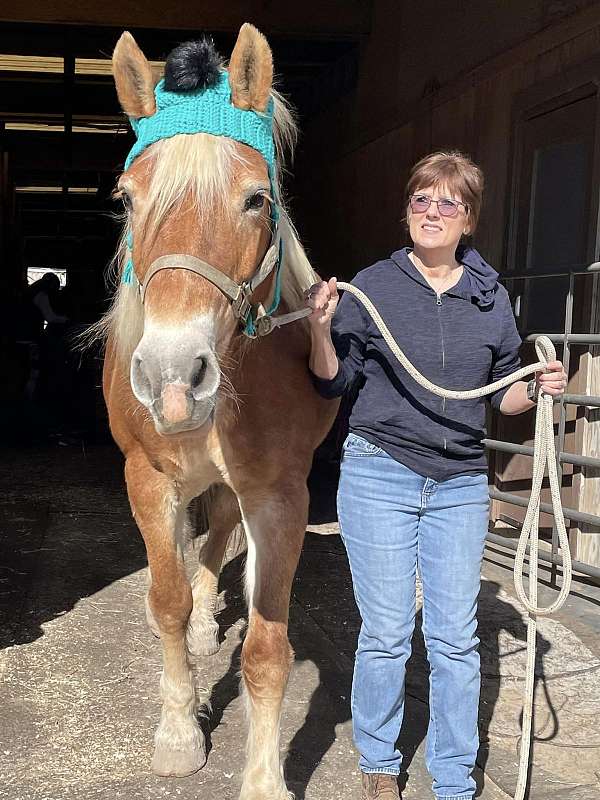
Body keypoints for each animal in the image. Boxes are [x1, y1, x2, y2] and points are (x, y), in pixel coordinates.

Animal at [91, 25, 340, 800]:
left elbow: (267, 648)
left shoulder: (280, 496)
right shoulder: (147, 478)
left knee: (220, 532)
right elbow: (165, 600)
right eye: (127, 199)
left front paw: (262, 779)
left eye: (257, 198)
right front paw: (179, 733)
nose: (173, 378)